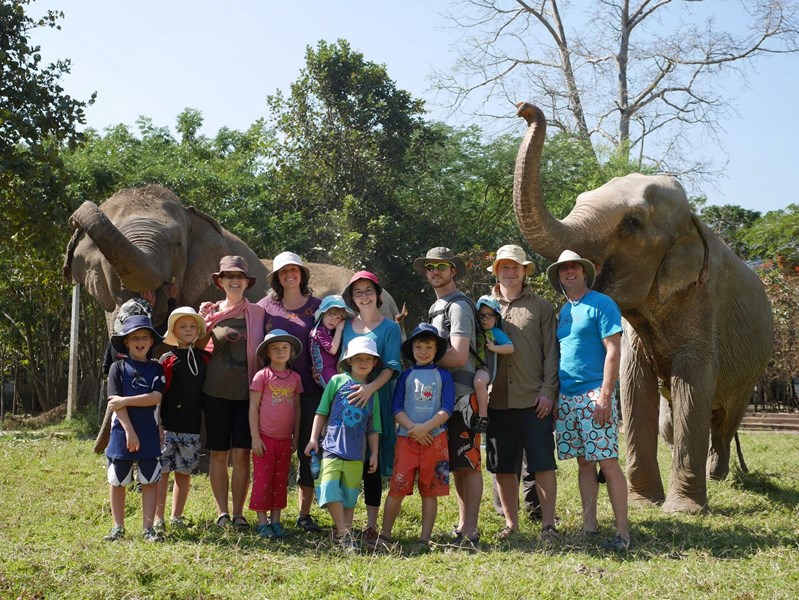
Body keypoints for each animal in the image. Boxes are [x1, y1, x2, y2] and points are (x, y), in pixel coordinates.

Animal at [516, 102, 772, 510]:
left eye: (633, 223)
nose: (525, 108)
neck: (692, 223)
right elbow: (634, 380)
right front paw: (643, 503)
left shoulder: (703, 297)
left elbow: (692, 379)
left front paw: (682, 510)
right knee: (677, 420)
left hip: (754, 368)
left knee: (725, 418)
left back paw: (719, 474)